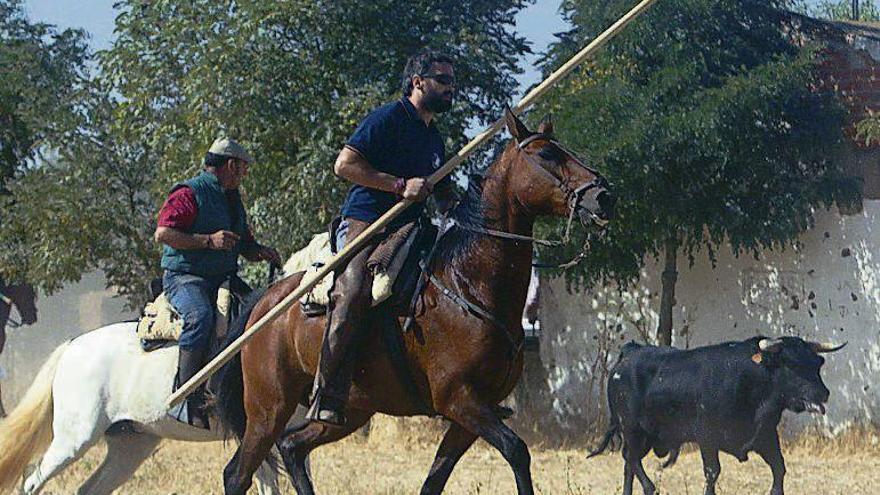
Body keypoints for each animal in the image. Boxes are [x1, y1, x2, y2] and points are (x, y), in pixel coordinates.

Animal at [217, 110, 616, 494]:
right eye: (547, 154)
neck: (468, 283)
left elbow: (435, 480)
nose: (604, 196)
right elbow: (517, 451)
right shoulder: (459, 399)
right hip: (269, 407)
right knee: (238, 473)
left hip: (351, 410)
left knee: (291, 448)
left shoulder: (473, 413)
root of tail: (264, 302)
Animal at [592, 336, 844, 494]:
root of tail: (631, 351)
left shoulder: (766, 437)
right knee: (631, 458)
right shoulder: (707, 438)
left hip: (646, 436)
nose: (823, 393)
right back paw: (650, 488)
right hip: (632, 429)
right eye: (791, 364)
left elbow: (779, 469)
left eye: (818, 362)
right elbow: (712, 473)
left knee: (628, 463)